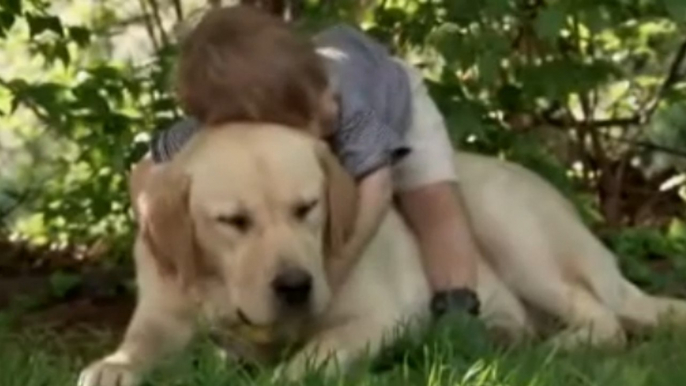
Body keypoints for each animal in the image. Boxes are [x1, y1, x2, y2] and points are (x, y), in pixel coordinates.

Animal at [78, 123, 686, 386]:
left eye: (307, 208)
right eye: (233, 222)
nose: (295, 285)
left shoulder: (381, 315)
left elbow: (317, 353)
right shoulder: (162, 309)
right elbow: (138, 343)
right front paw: (112, 367)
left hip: (508, 228)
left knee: (603, 318)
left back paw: (553, 347)